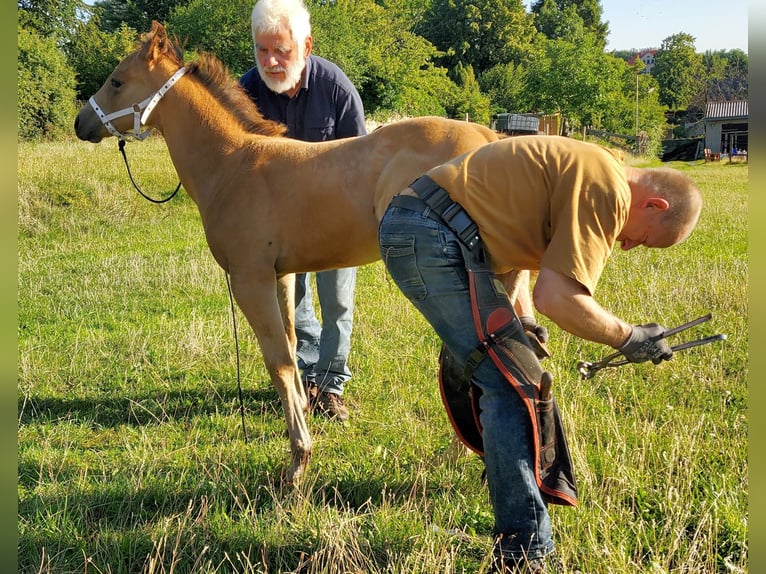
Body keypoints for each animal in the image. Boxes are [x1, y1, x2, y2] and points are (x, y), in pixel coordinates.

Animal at [73, 20, 504, 486]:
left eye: (117, 81)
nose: (80, 123)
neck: (233, 165)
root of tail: (489, 136)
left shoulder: (250, 280)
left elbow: (277, 360)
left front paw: (299, 459)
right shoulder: (282, 276)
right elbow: (295, 349)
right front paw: (300, 422)